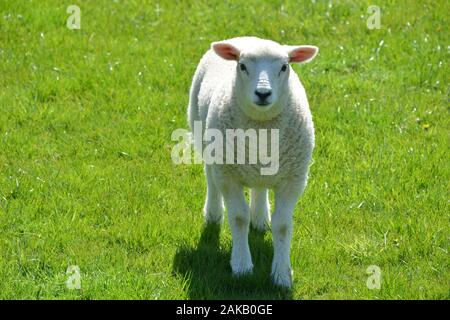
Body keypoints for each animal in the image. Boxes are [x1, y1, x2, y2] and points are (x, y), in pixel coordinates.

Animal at [188, 37, 318, 288]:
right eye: (242, 66)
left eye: (284, 67)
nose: (263, 93)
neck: (261, 127)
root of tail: (247, 37)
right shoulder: (228, 175)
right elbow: (239, 218)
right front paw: (242, 266)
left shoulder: (293, 179)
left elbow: (282, 225)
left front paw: (282, 274)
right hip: (203, 136)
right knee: (210, 178)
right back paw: (213, 214)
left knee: (259, 187)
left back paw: (260, 219)